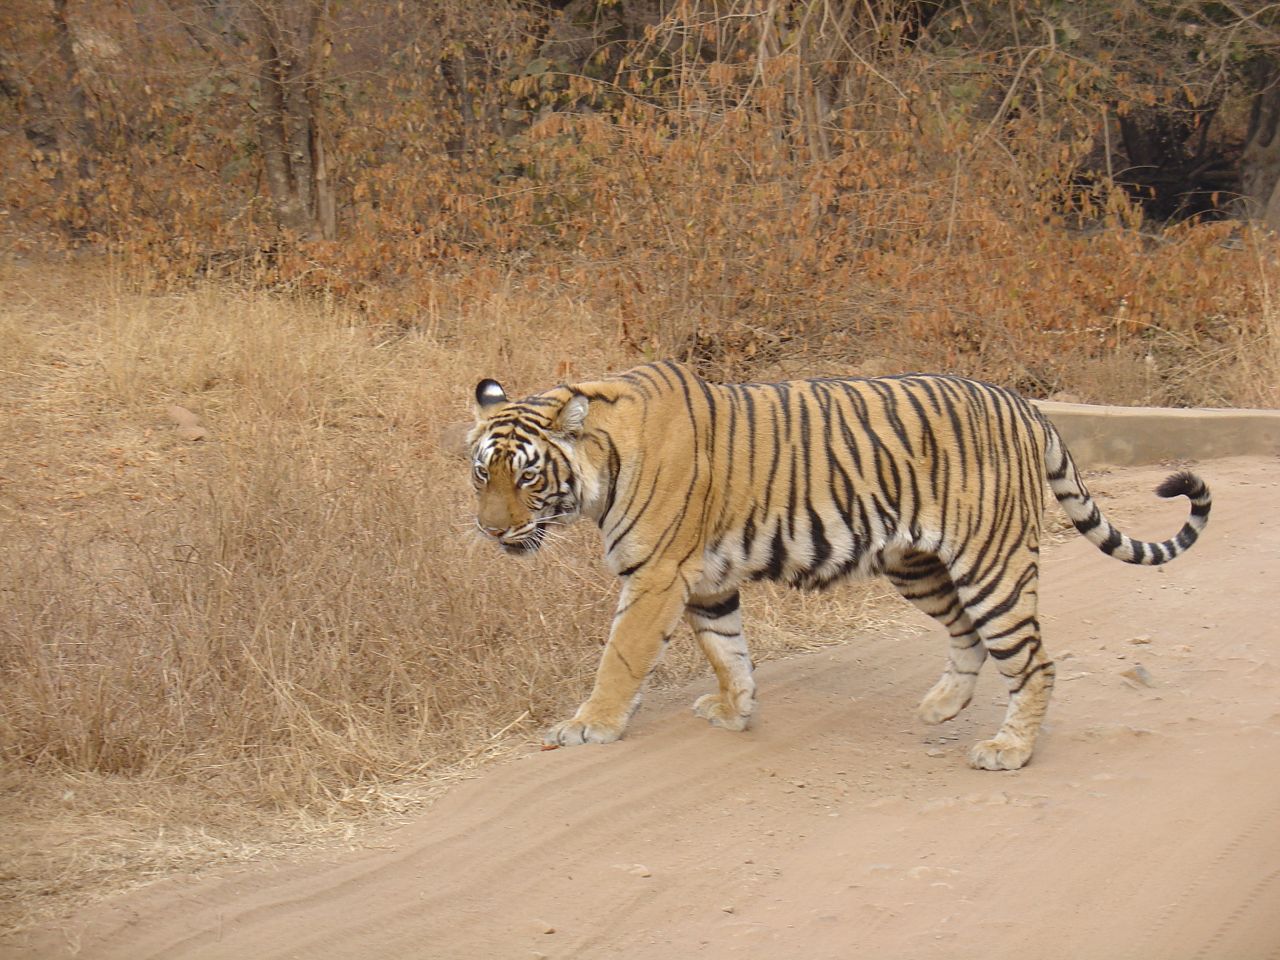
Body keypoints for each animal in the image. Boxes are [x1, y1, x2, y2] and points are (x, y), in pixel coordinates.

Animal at [467, 360, 1210, 770]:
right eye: (482, 473)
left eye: (527, 476)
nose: (490, 529)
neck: (602, 465)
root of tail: (1027, 406)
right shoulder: (707, 578)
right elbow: (727, 650)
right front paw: (736, 710)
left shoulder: (655, 576)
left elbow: (620, 657)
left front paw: (589, 724)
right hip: (916, 564)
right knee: (967, 634)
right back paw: (943, 707)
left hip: (992, 564)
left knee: (1033, 661)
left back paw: (1009, 751)